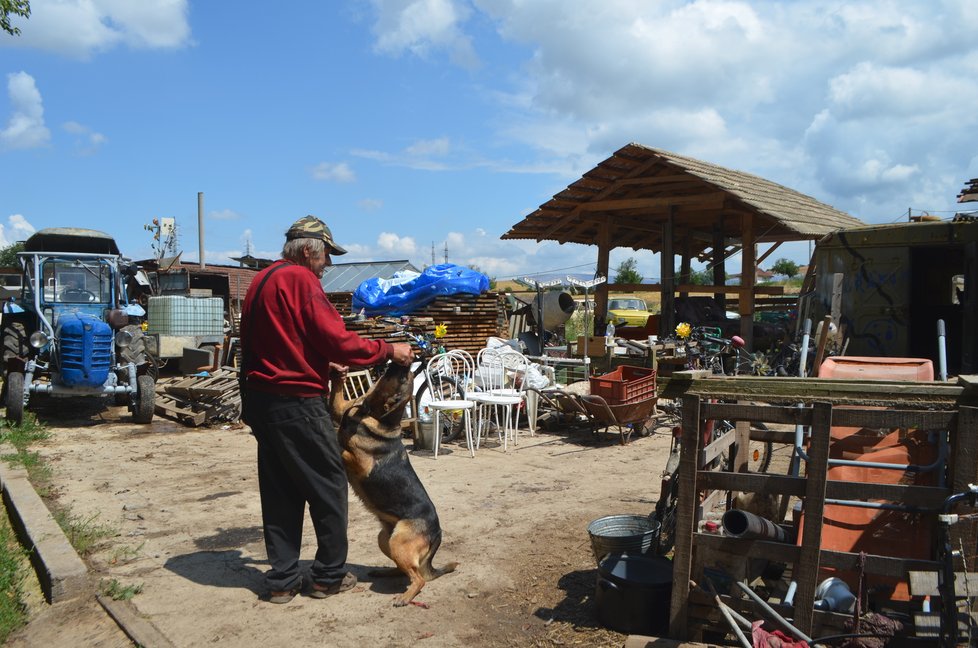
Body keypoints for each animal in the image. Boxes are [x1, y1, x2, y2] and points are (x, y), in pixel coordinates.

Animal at [328, 362, 458, 604]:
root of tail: (437, 533)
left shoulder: (361, 463)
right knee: (404, 570)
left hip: (398, 544)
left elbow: (340, 445)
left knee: (418, 579)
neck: (371, 412)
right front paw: (337, 372)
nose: (403, 362)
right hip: (385, 539)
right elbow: (337, 394)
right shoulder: (340, 408)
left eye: (404, 379)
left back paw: (405, 597)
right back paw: (385, 572)